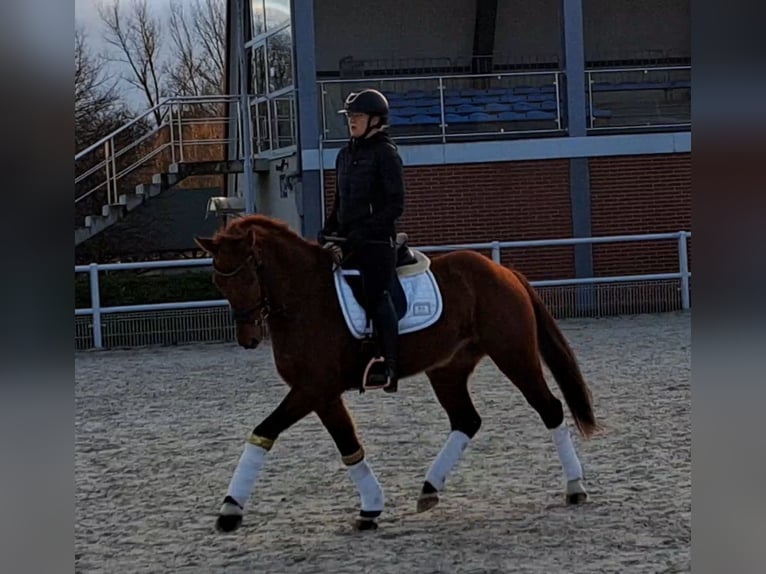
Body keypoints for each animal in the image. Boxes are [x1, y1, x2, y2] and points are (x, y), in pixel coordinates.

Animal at [194, 216, 600, 536]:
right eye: (219, 281)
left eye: (249, 275)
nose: (247, 339)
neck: (307, 298)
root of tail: (503, 272)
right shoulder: (320, 393)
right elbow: (346, 445)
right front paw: (370, 507)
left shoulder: (313, 388)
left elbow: (268, 431)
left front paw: (230, 510)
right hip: (448, 369)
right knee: (466, 420)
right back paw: (429, 489)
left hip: (514, 356)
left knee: (549, 408)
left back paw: (575, 487)